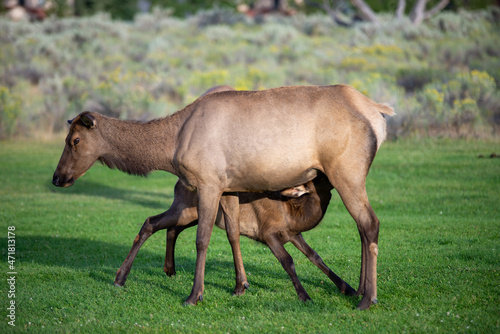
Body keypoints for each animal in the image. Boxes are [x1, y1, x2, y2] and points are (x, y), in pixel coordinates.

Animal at [51, 84, 394, 310]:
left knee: (370, 223)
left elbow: (202, 238)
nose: (57, 177)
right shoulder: (229, 187)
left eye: (75, 140)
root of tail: (378, 111)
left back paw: (368, 298)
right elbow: (231, 233)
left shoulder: (208, 181)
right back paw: (358, 289)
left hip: (346, 170)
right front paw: (240, 285)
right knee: (362, 227)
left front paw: (195, 294)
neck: (171, 145)